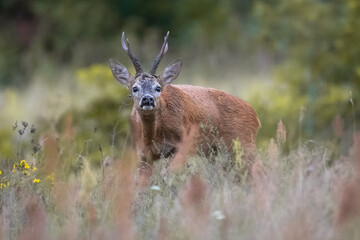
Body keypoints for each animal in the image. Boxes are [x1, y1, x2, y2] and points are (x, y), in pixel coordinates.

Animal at [108, 31, 260, 178]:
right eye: (135, 88)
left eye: (158, 88)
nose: (147, 99)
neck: (153, 135)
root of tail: (255, 115)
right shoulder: (143, 153)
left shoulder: (184, 142)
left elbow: (168, 174)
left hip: (244, 141)